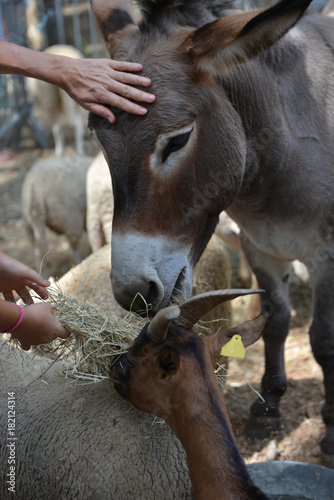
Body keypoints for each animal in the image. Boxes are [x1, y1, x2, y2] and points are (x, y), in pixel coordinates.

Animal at [88, 0, 334, 464]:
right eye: (100, 141)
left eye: (178, 140)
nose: (133, 293)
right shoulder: (260, 246)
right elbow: (275, 321)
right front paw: (267, 408)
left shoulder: (326, 253)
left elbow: (322, 338)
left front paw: (329, 428)